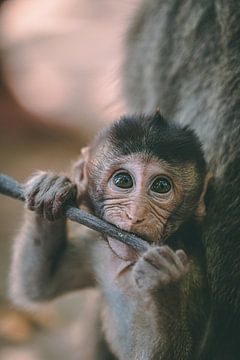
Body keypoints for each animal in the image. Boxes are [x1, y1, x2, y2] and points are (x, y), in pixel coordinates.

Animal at [10, 112, 211, 360]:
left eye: (161, 186)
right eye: (123, 181)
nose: (135, 214)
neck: (128, 265)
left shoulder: (191, 270)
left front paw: (163, 283)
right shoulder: (95, 248)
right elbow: (39, 287)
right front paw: (51, 189)